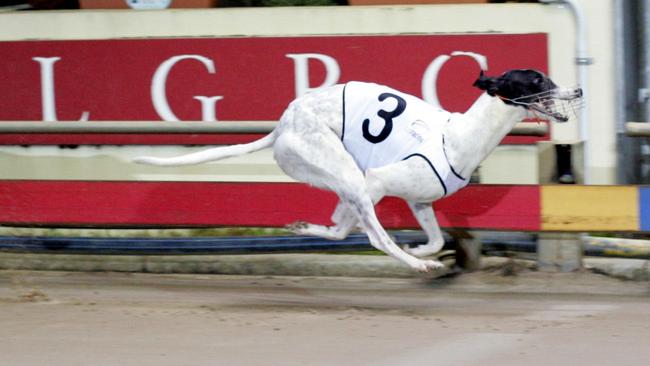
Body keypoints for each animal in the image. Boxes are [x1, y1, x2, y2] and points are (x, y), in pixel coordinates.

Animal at [134, 70, 580, 274]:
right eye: (536, 80)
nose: (577, 90)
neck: (459, 136)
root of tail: (283, 122)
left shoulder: (419, 200)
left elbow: (436, 238)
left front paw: (424, 248)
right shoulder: (379, 180)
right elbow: (379, 235)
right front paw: (419, 257)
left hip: (338, 176)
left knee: (338, 227)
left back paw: (305, 227)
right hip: (346, 171)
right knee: (370, 235)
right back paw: (417, 266)